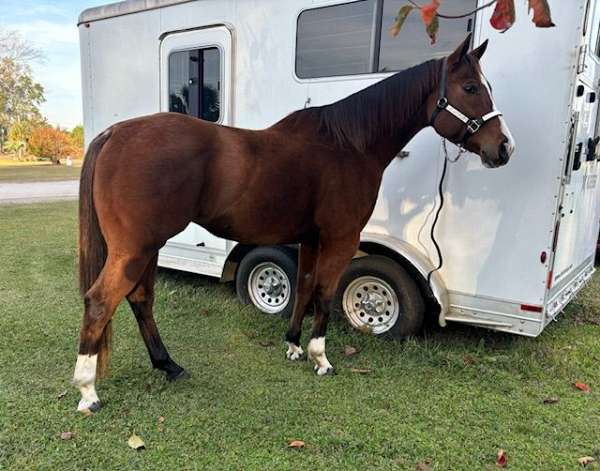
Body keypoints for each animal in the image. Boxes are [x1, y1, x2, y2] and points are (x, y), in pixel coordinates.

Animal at [74, 36, 516, 412]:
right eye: (471, 88)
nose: (504, 147)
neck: (349, 145)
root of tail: (114, 133)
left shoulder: (310, 240)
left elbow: (304, 287)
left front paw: (293, 346)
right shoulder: (341, 238)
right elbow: (324, 292)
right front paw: (321, 358)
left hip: (146, 247)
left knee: (140, 299)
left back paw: (168, 365)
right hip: (136, 249)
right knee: (101, 301)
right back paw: (87, 391)